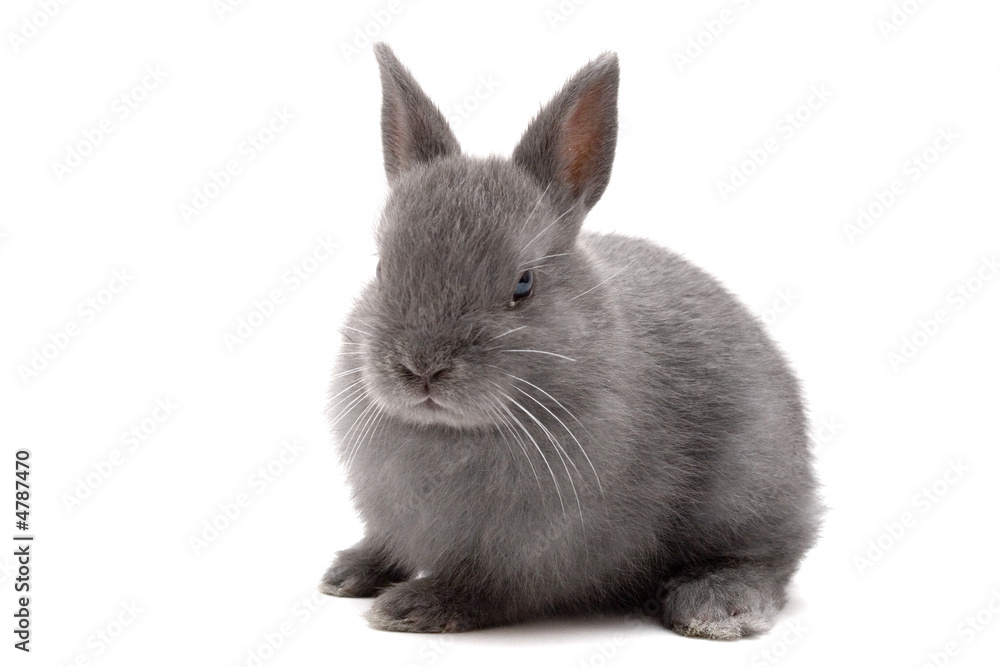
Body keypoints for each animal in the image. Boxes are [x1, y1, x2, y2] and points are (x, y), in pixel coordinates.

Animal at [319, 43, 821, 640]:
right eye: (380, 270)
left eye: (523, 284)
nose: (422, 368)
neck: (454, 434)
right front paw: (349, 575)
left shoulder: (539, 557)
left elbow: (487, 590)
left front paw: (411, 607)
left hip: (752, 487)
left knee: (769, 555)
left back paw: (717, 607)